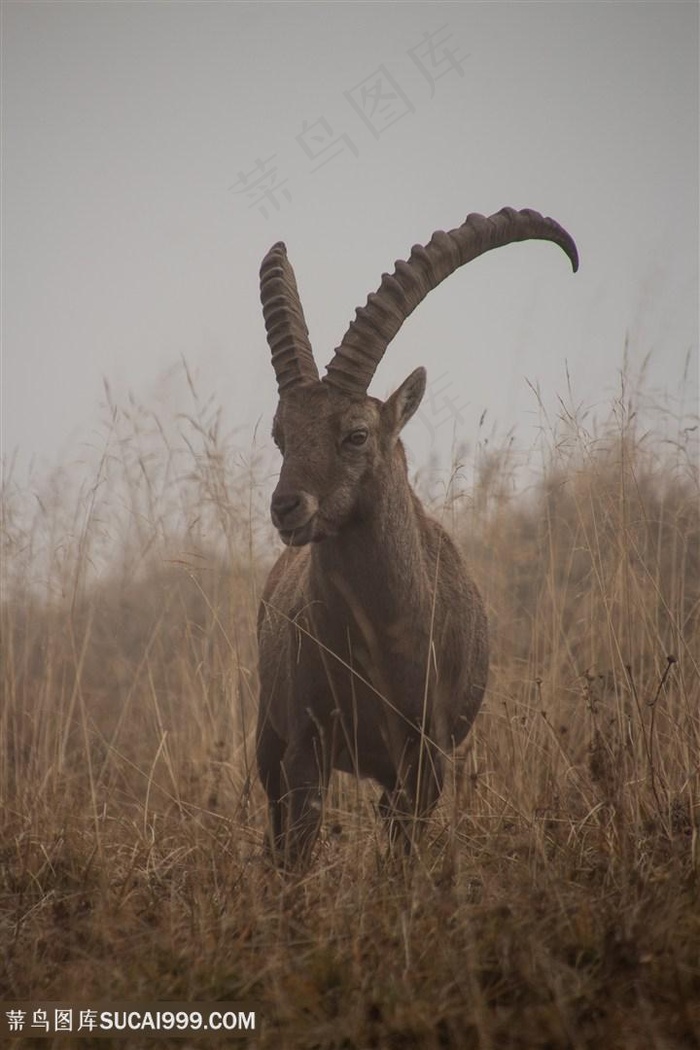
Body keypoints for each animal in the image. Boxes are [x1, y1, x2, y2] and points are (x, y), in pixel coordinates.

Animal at [255, 206, 579, 869]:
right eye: (281, 434)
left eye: (356, 433)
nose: (287, 508)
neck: (380, 634)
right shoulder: (306, 742)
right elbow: (298, 848)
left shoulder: (428, 755)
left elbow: (402, 855)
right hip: (267, 739)